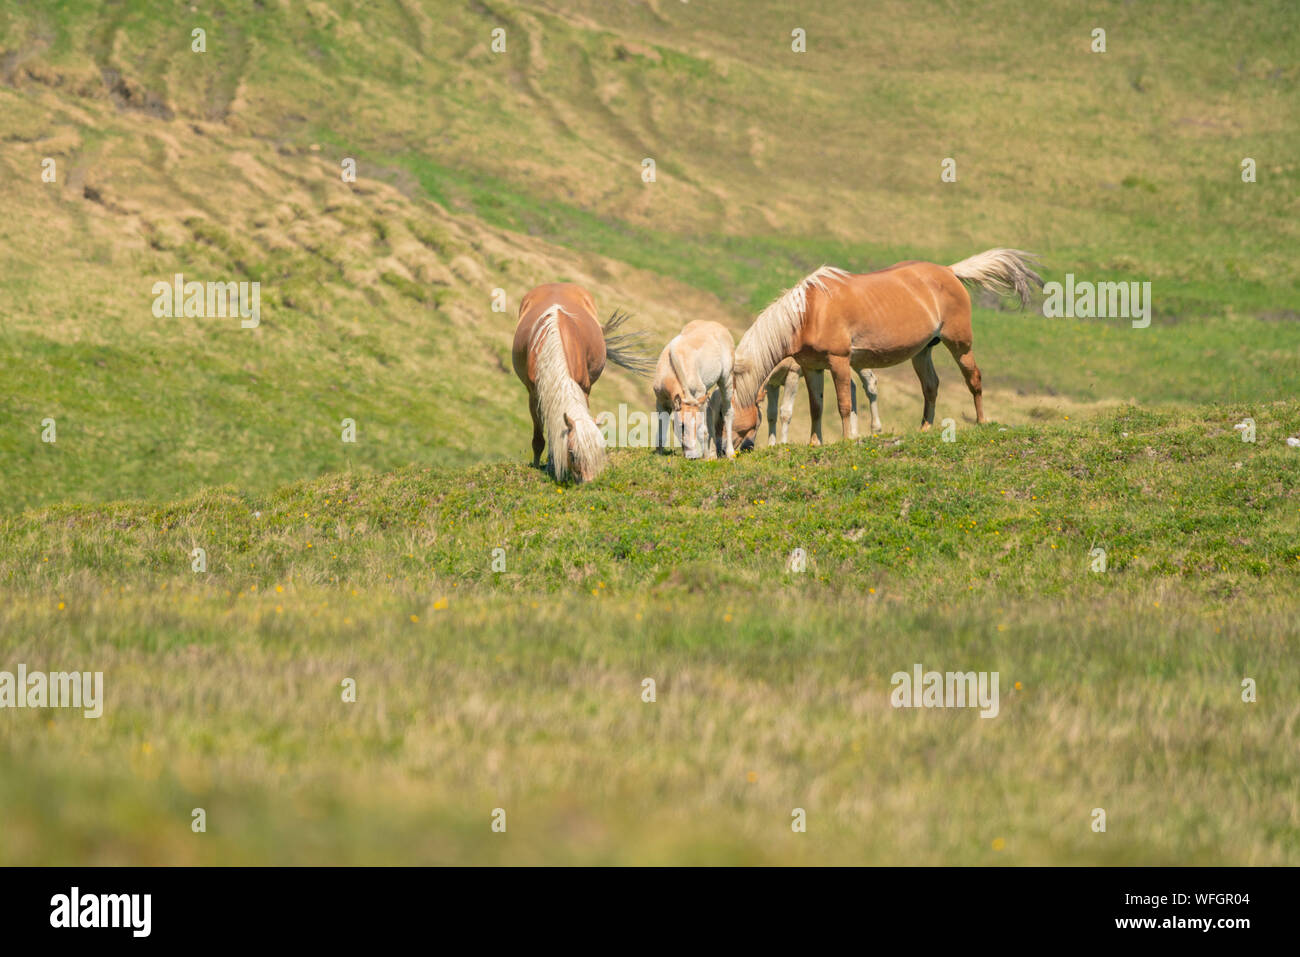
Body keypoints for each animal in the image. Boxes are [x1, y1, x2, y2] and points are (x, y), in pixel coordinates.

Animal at [506, 280, 650, 481]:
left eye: (599, 452)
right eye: (572, 454)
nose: (590, 482)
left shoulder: (584, 389)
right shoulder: (534, 396)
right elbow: (539, 436)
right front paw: (540, 464)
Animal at [650, 319, 743, 457]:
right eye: (682, 425)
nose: (691, 456)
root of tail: (720, 327)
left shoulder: (699, 396)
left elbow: (703, 430)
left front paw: (706, 457)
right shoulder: (661, 402)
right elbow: (662, 428)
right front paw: (658, 454)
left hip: (726, 381)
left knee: (728, 412)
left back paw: (729, 453)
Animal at [728, 248, 1040, 447]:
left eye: (726, 416)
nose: (724, 452)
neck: (810, 312)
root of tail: (949, 271)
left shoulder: (839, 361)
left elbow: (843, 404)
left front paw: (847, 440)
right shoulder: (811, 367)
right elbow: (816, 407)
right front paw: (815, 443)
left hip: (960, 344)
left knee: (973, 378)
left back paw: (982, 422)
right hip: (922, 352)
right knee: (931, 386)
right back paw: (925, 428)